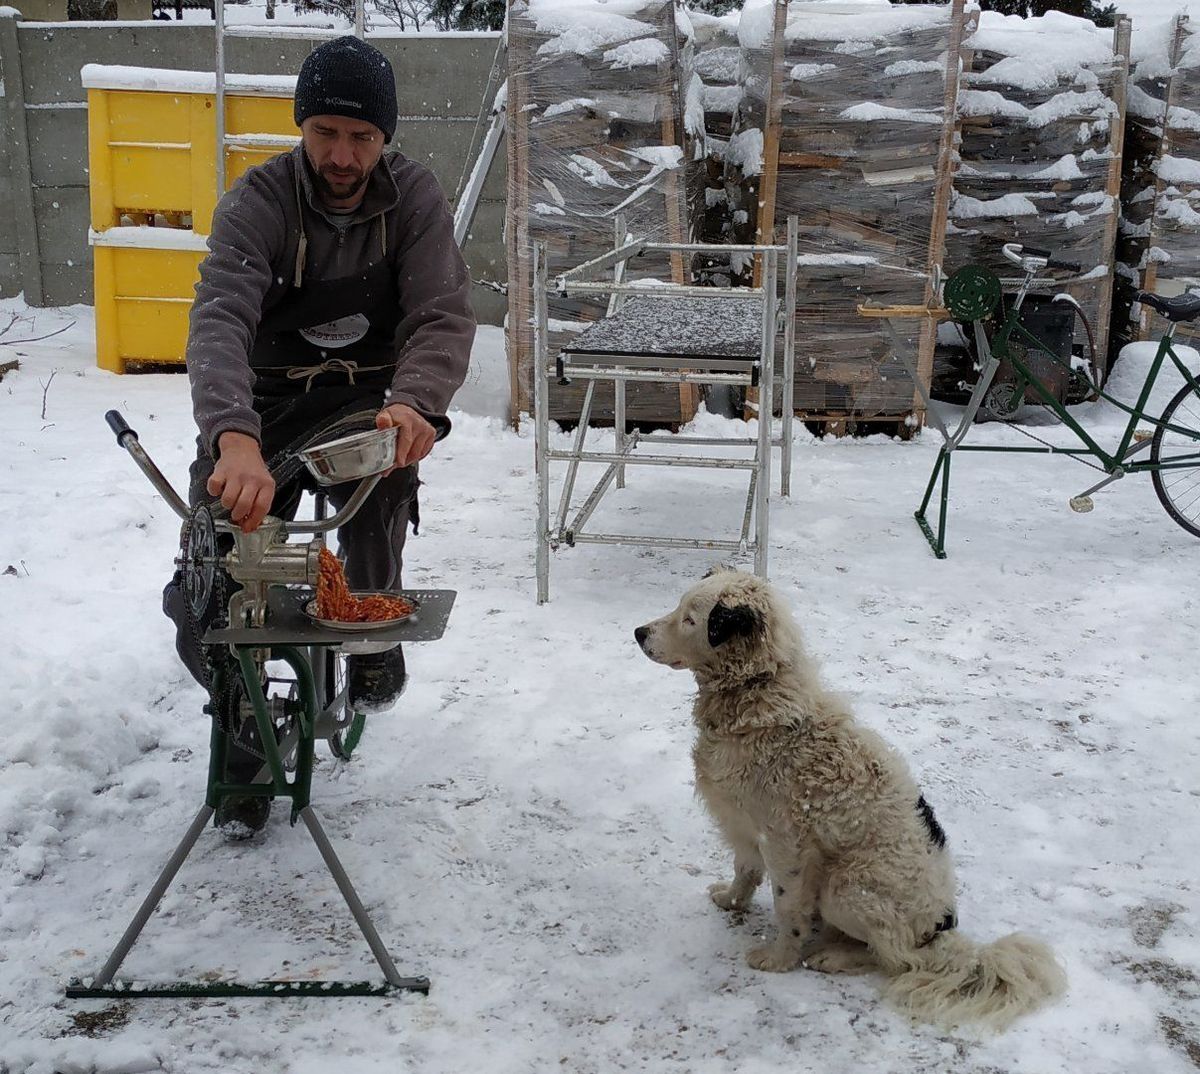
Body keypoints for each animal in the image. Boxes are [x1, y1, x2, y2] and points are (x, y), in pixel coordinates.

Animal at [633, 571, 1065, 1032]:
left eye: (690, 619)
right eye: (679, 607)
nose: (639, 633)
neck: (757, 695)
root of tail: (941, 929)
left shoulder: (787, 843)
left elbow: (787, 906)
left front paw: (779, 959)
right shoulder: (743, 825)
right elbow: (744, 870)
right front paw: (732, 902)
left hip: (843, 886)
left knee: (898, 959)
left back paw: (833, 956)